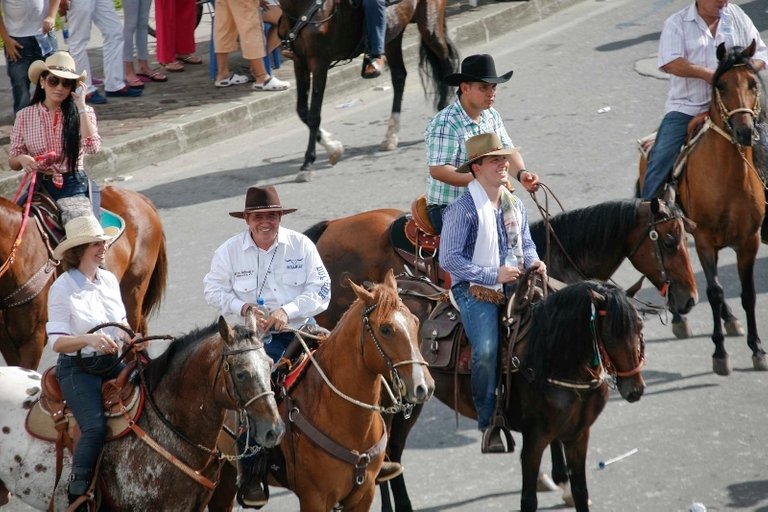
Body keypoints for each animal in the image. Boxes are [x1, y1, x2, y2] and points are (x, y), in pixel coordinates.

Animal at [280, 0, 460, 179]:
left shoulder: (319, 63)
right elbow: (302, 111)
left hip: (430, 25)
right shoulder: (300, 63)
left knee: (446, 63)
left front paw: (308, 165)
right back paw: (390, 136)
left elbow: (313, 115)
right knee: (399, 77)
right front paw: (333, 148)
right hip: (394, 32)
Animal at [640, 41, 764, 376]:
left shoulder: (749, 241)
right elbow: (714, 291)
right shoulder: (706, 240)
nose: (744, 131)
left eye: (752, 83)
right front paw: (720, 353)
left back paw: (730, 320)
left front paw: (757, 349)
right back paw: (680, 318)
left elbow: (748, 293)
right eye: (720, 85)